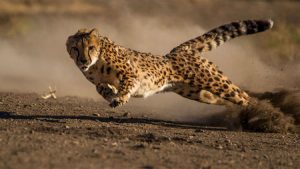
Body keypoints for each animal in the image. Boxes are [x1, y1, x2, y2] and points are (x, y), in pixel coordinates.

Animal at [66, 19, 274, 107]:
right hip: (196, 92)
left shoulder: (132, 74)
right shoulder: (98, 80)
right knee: (228, 99)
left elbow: (126, 86)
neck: (96, 63)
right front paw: (110, 93)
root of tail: (178, 51)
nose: (83, 60)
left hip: (213, 81)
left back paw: (262, 113)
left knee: (244, 97)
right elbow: (100, 87)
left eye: (90, 47)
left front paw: (119, 98)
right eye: (75, 48)